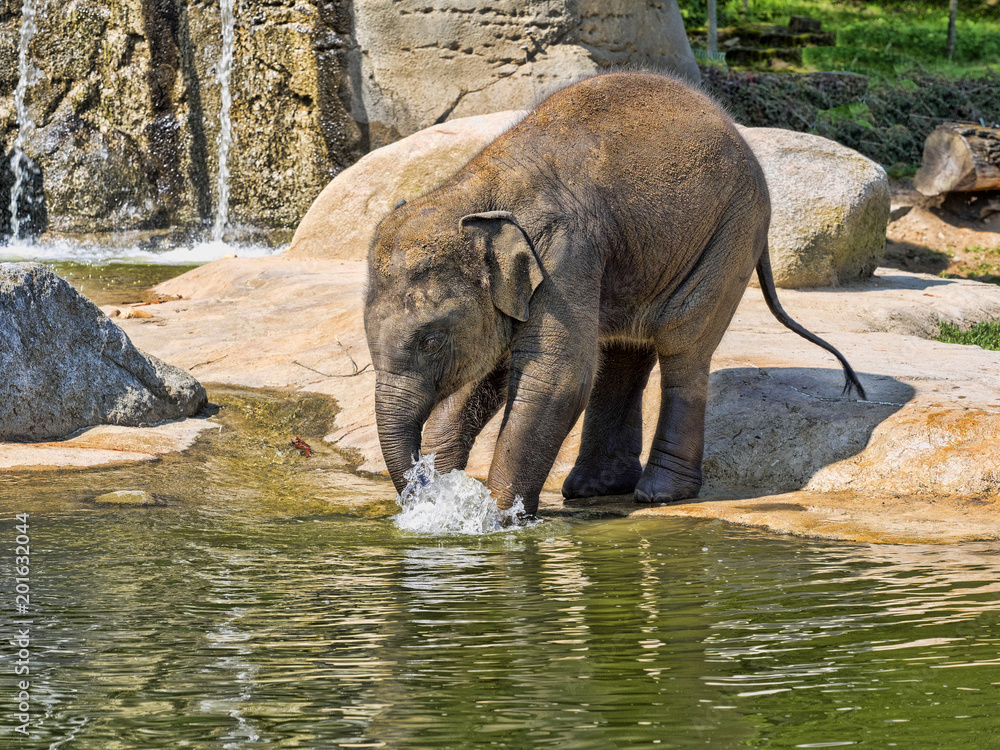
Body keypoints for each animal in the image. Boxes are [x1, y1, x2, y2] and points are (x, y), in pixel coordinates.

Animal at [364, 71, 865, 517]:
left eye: (431, 341)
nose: (426, 489)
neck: (473, 190)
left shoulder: (564, 255)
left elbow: (555, 378)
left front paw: (497, 518)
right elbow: (490, 372)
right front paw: (447, 497)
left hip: (731, 233)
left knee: (683, 342)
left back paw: (659, 494)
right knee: (625, 348)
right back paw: (595, 489)